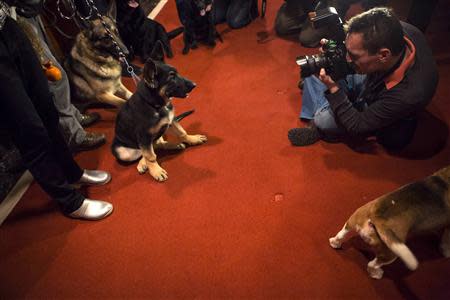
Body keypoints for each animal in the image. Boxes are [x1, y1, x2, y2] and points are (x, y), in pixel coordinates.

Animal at [111, 41, 207, 182]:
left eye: (177, 73)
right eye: (171, 78)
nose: (194, 85)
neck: (155, 105)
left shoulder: (171, 121)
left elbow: (182, 132)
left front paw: (192, 139)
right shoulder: (144, 137)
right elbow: (150, 156)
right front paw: (156, 170)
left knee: (157, 144)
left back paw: (173, 145)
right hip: (122, 151)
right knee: (146, 151)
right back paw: (144, 163)